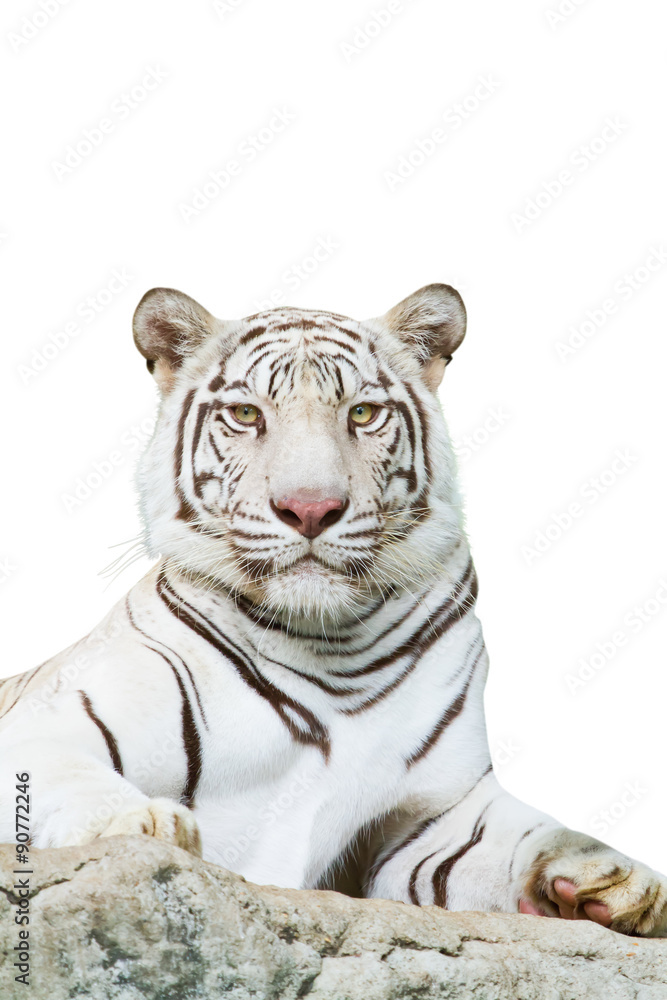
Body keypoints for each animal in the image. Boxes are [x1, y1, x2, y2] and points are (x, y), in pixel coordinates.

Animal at [1, 283, 665, 936]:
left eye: (363, 414)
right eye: (247, 414)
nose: (311, 509)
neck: (332, 646)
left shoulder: (433, 818)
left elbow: (530, 835)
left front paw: (623, 883)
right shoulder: (49, 722)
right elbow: (73, 777)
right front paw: (145, 826)